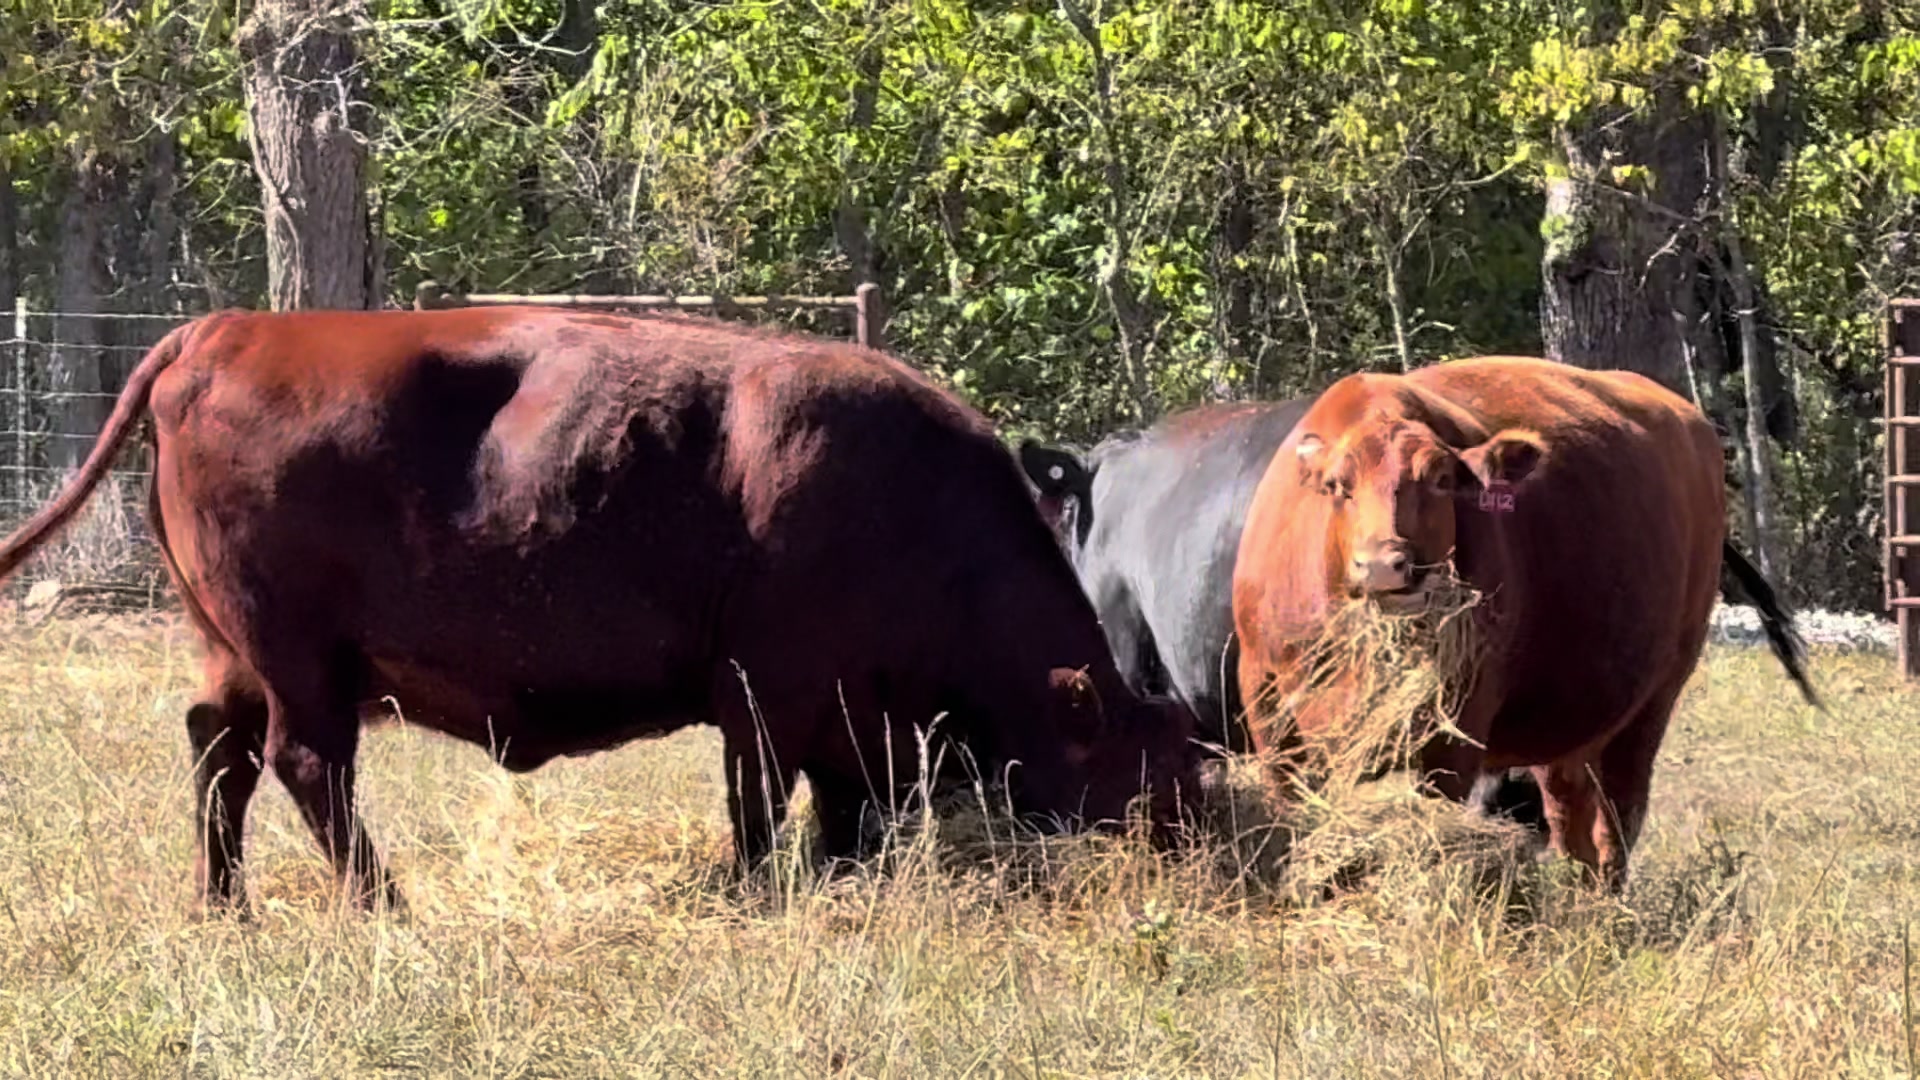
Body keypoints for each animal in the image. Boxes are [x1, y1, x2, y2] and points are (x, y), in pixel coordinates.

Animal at [0, 307, 1200, 914]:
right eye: (1143, 772)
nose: (1195, 850)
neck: (911, 508)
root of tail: (223, 331)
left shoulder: (847, 721)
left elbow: (843, 809)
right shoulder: (768, 698)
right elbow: (764, 804)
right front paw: (755, 893)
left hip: (231, 651)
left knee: (223, 752)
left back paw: (224, 906)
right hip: (301, 662)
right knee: (305, 765)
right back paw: (385, 906)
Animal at [1231, 355, 1820, 890]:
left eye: (1440, 480)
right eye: (1339, 485)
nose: (1384, 563)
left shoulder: (1455, 726)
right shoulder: (1266, 702)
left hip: (1654, 701)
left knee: (1618, 824)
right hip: (1570, 725)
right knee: (1571, 821)